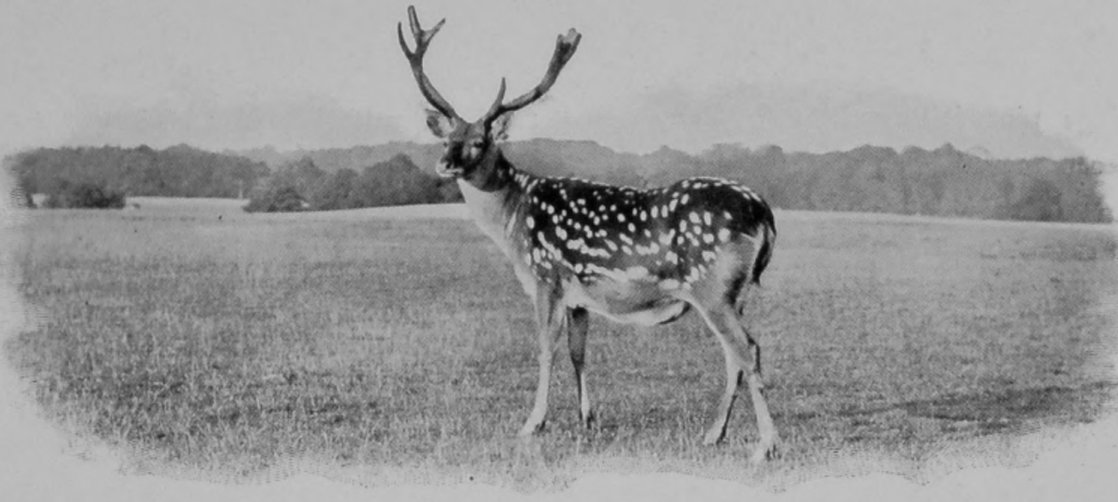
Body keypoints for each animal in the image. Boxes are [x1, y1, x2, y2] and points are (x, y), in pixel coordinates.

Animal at [397, 6, 780, 463]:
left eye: (479, 141)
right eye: (447, 138)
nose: (446, 163)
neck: (513, 219)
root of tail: (763, 212)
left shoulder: (546, 276)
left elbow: (546, 347)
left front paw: (533, 423)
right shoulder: (580, 296)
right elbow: (578, 352)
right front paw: (587, 419)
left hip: (712, 287)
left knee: (748, 349)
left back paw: (767, 444)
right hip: (731, 294)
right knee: (733, 354)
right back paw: (713, 434)